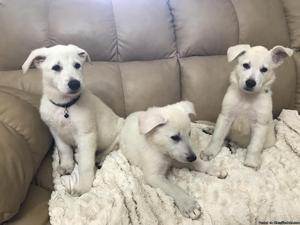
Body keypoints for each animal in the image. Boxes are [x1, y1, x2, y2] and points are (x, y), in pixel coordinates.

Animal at [22, 44, 123, 194]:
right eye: (56, 67)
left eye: (77, 65)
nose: (75, 84)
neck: (64, 106)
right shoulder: (56, 132)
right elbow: (64, 150)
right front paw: (67, 165)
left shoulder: (86, 135)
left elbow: (86, 164)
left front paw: (84, 187)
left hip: (117, 131)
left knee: (112, 146)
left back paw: (100, 157)